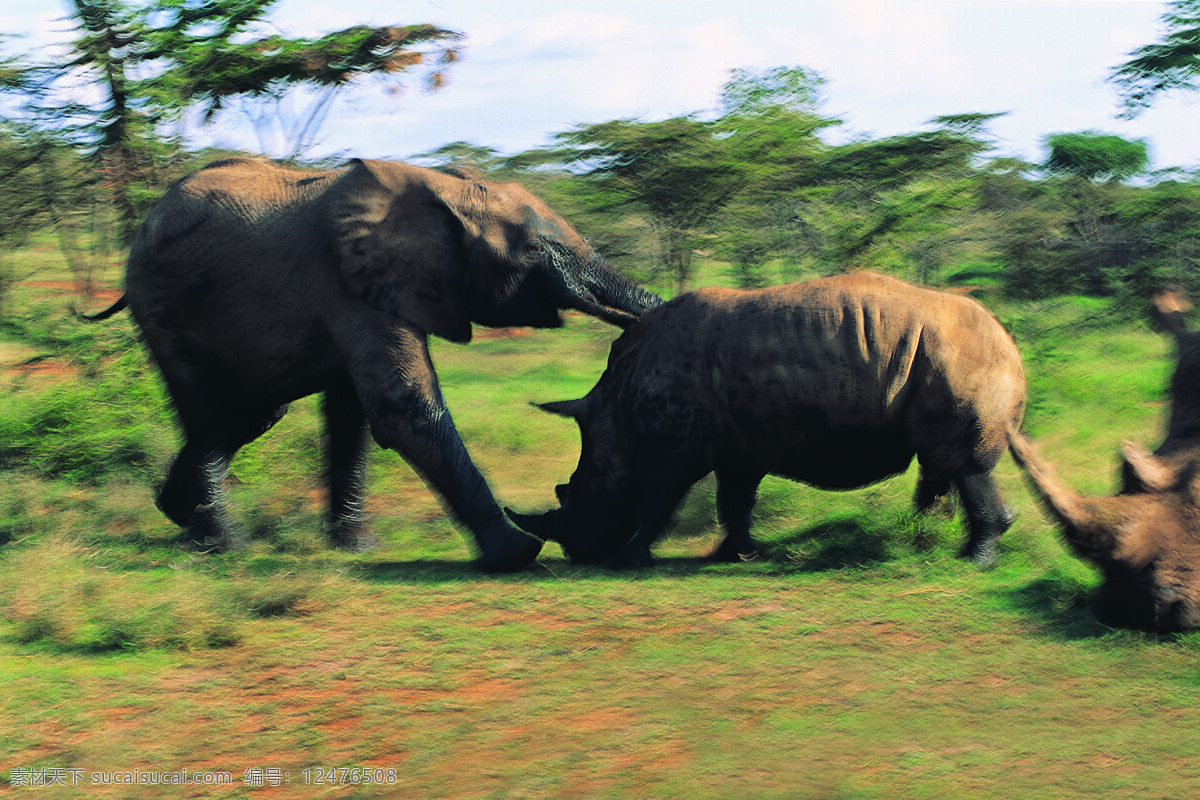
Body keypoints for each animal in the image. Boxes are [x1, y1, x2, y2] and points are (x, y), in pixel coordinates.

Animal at [85, 155, 662, 573]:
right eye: (539, 250)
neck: (440, 188)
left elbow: (354, 419)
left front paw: (357, 549)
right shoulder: (350, 283)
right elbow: (400, 405)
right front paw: (518, 553)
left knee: (251, 414)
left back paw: (176, 513)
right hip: (162, 302)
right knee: (209, 411)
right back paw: (226, 546)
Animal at [506, 272, 1022, 566]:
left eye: (580, 492)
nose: (578, 554)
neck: (616, 407)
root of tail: (1011, 344)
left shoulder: (673, 446)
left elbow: (657, 499)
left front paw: (628, 561)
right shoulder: (740, 445)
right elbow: (735, 500)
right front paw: (736, 554)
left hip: (958, 361)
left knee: (964, 466)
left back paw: (972, 562)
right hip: (940, 359)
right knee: (940, 463)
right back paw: (924, 541)